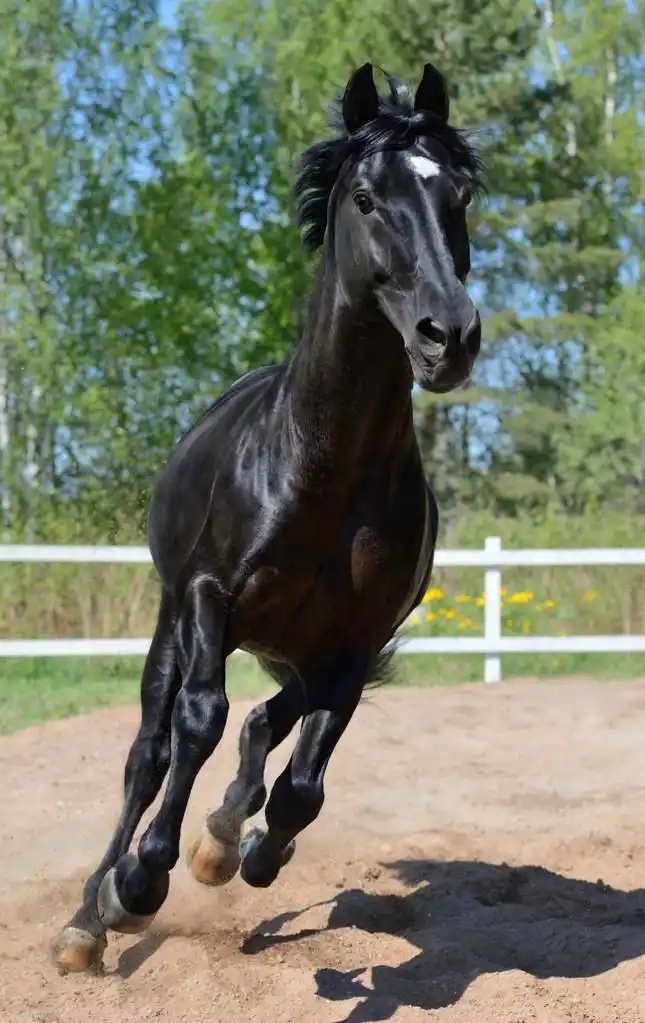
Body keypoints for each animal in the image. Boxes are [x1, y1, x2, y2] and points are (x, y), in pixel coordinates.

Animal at [52, 60, 483, 973]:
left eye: (458, 192)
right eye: (366, 197)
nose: (448, 337)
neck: (322, 473)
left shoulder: (354, 643)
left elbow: (302, 787)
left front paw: (241, 851)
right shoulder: (209, 596)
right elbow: (198, 721)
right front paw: (140, 882)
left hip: (293, 647)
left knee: (265, 724)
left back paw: (222, 836)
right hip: (177, 624)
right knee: (152, 752)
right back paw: (89, 917)